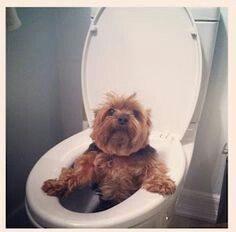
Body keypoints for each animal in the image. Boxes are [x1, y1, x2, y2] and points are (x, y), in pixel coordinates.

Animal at [42, 93, 175, 204]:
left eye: (135, 113)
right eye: (111, 111)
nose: (122, 118)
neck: (119, 153)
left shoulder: (147, 159)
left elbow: (154, 168)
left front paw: (162, 182)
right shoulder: (90, 160)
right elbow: (76, 173)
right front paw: (58, 184)